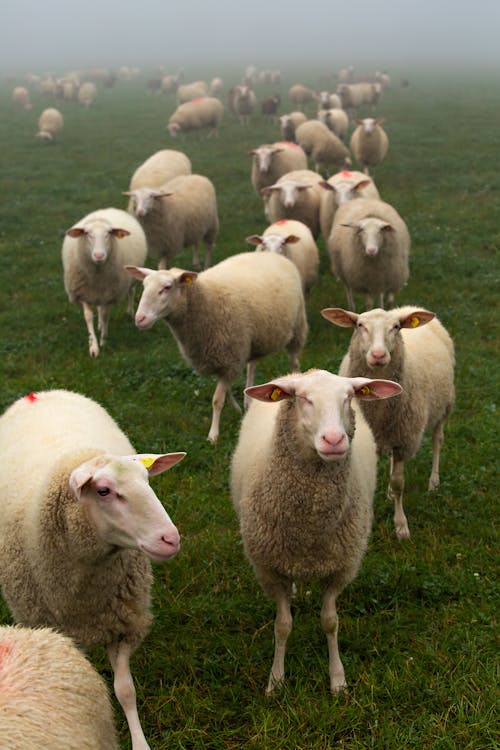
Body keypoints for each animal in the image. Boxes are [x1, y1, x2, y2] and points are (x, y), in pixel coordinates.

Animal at [0, 388, 186, 750]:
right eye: (103, 491)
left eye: (147, 480)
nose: (170, 539)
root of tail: (39, 394)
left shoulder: (123, 622)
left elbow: (125, 691)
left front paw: (139, 742)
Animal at [61, 206, 147, 358]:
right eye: (87, 234)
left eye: (108, 234)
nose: (99, 255)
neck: (97, 274)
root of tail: (108, 209)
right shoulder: (84, 293)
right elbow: (89, 317)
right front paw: (93, 347)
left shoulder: (109, 293)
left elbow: (106, 315)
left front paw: (103, 341)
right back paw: (100, 325)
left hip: (130, 277)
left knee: (131, 292)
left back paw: (129, 313)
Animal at [127, 253, 306, 444]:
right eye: (144, 286)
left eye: (167, 287)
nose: (140, 319)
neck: (204, 301)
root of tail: (271, 254)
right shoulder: (222, 356)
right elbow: (226, 390)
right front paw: (236, 409)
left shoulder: (229, 356)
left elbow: (217, 400)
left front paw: (213, 435)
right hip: (257, 338)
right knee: (252, 365)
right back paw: (248, 402)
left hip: (297, 328)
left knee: (294, 361)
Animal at [230, 368, 402, 692]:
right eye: (304, 399)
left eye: (348, 397)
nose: (334, 440)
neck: (309, 527)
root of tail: (300, 372)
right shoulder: (270, 569)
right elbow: (282, 626)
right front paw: (276, 680)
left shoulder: (339, 567)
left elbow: (330, 622)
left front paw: (337, 679)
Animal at [322, 306, 456, 540]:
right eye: (360, 325)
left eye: (396, 327)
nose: (378, 355)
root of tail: (411, 308)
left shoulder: (404, 440)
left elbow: (399, 482)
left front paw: (401, 526)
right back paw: (390, 493)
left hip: (444, 407)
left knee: (438, 440)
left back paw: (433, 482)